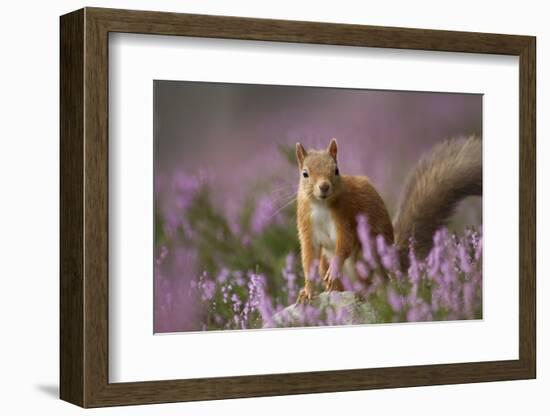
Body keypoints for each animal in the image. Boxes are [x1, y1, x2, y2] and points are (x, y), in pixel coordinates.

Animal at [298, 136, 484, 302]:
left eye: (336, 170)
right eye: (305, 173)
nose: (324, 186)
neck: (321, 205)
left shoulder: (347, 215)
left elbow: (346, 242)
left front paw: (334, 269)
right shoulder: (307, 225)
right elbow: (309, 257)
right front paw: (307, 291)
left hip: (365, 256)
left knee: (371, 281)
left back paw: (364, 292)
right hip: (326, 262)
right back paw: (336, 290)